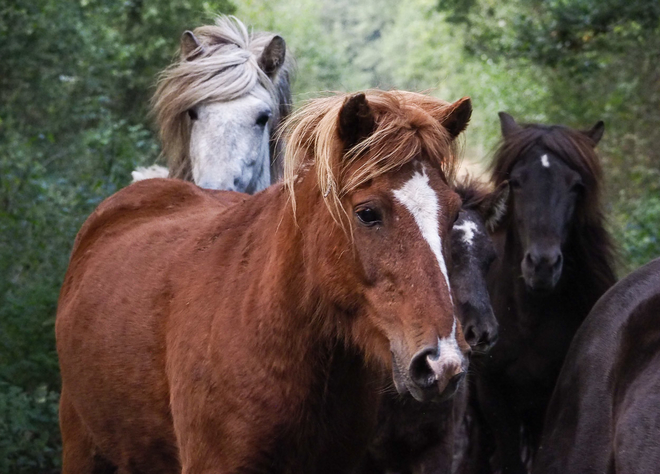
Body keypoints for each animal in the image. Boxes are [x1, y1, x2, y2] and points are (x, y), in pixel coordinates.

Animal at [466, 112, 616, 474]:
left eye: (576, 186)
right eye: (517, 182)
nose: (543, 265)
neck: (527, 319)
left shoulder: (549, 400)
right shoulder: (493, 396)